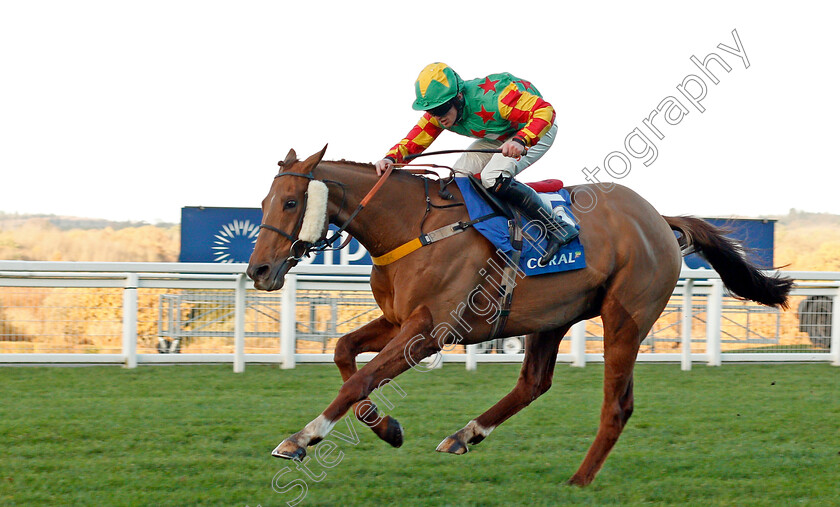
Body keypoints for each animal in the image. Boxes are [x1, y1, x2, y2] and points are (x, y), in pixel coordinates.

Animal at [244, 145, 796, 486]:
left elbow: (361, 379)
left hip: (625, 320)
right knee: (534, 383)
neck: (413, 226)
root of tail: (660, 220)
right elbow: (344, 354)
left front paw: (300, 439)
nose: (259, 270)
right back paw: (465, 435)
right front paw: (387, 428)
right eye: (266, 200)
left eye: (290, 202)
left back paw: (578, 479)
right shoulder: (399, 320)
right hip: (553, 318)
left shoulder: (430, 330)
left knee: (616, 406)